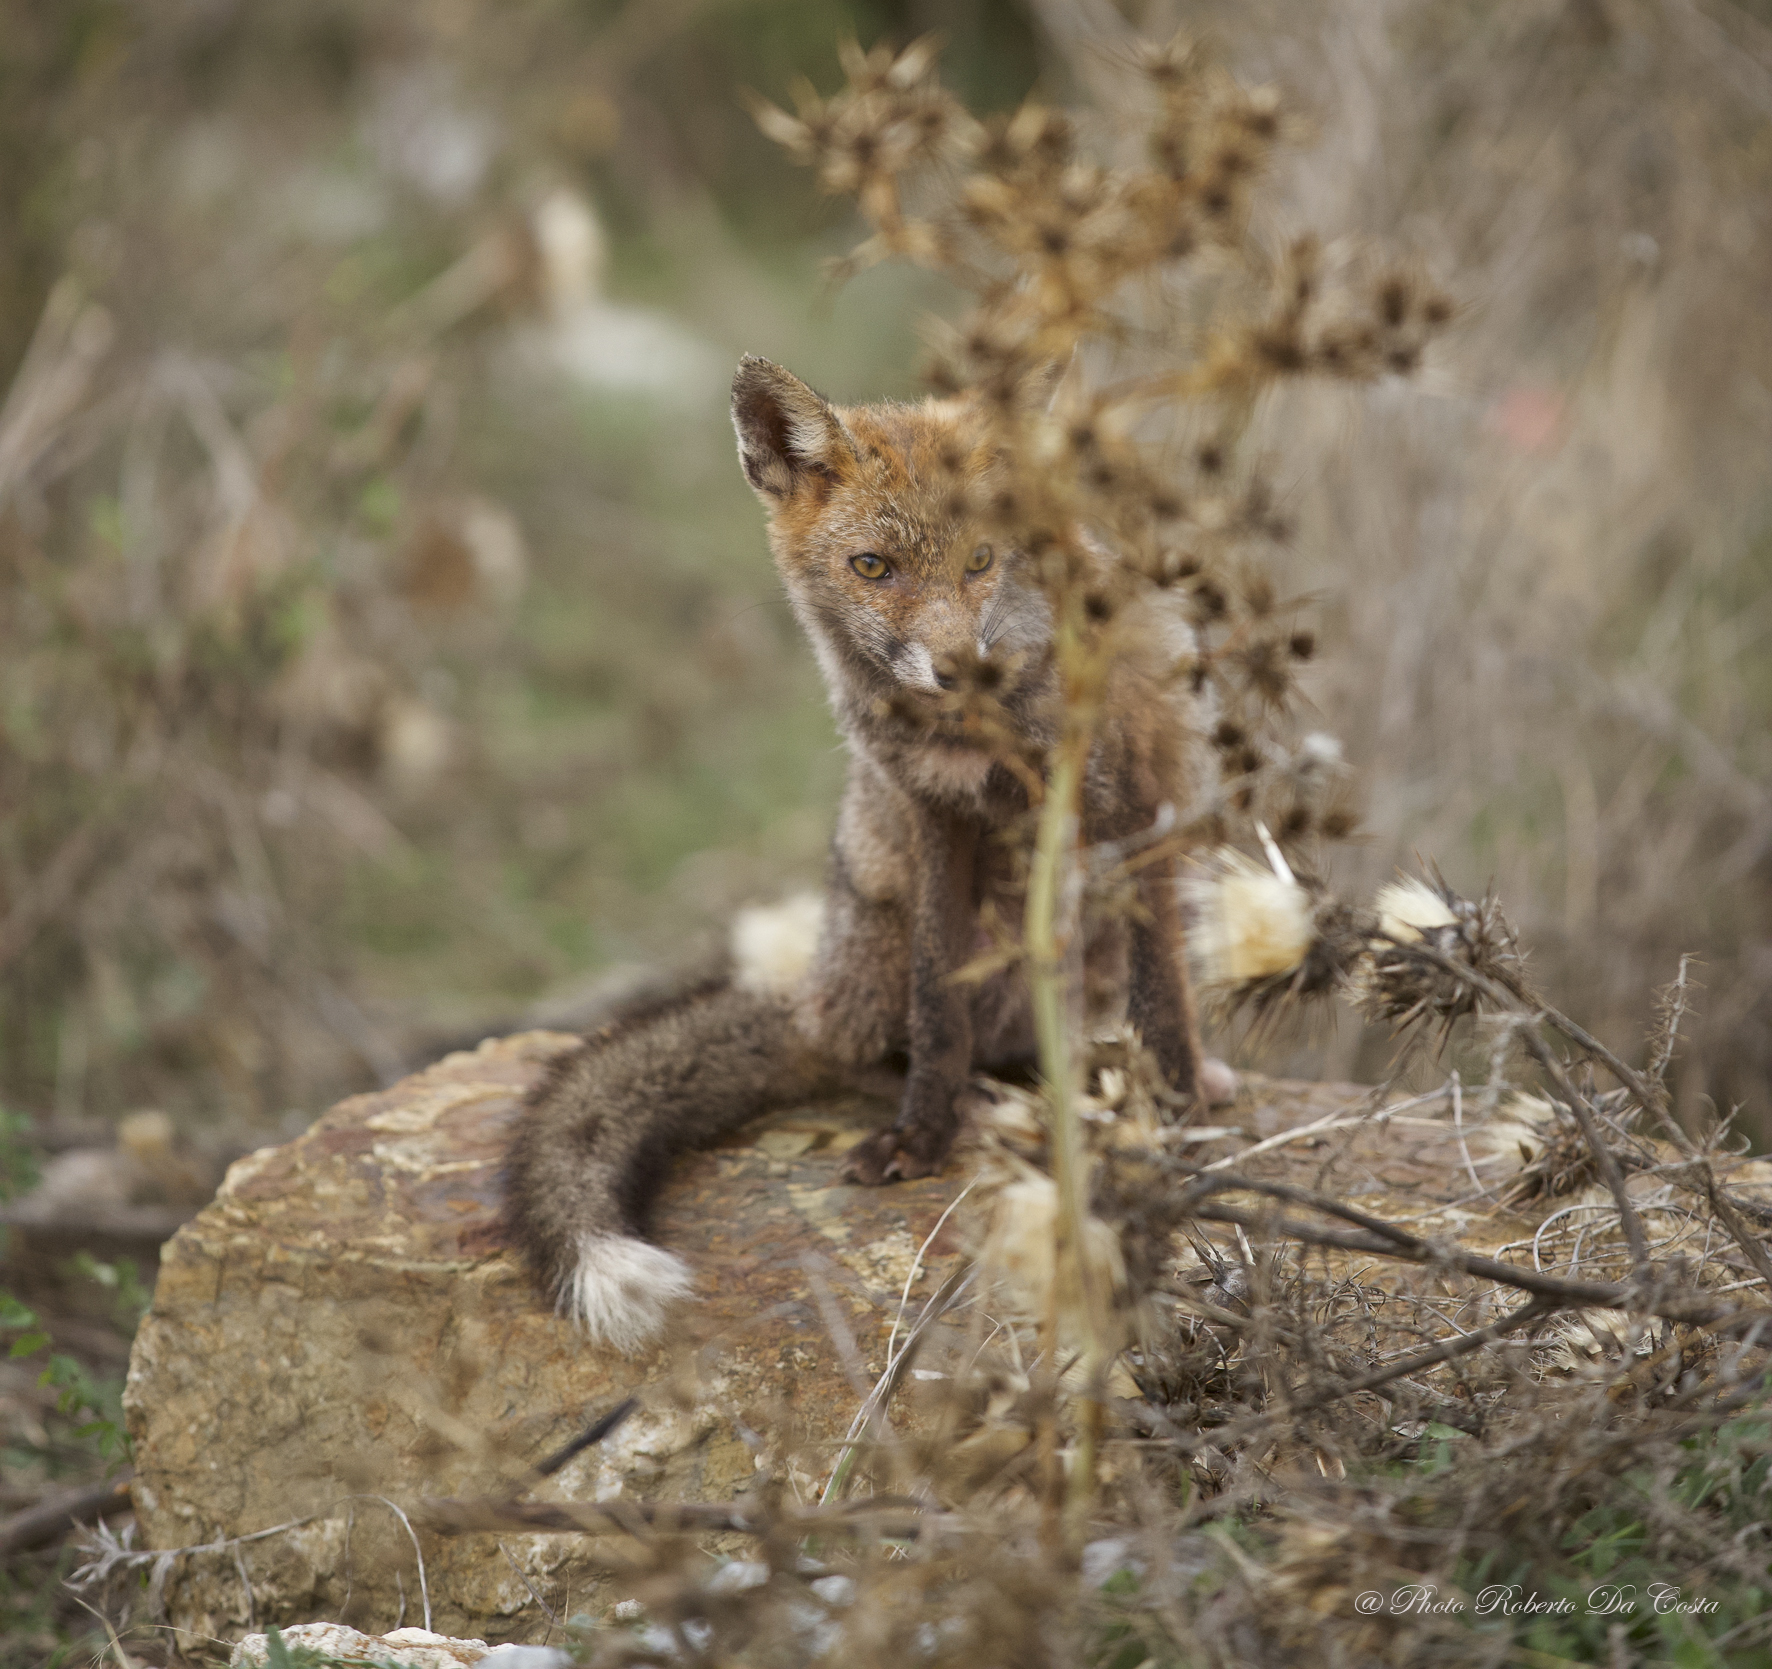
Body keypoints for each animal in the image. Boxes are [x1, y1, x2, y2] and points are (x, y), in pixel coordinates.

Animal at [504, 355, 1228, 1350]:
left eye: (981, 560)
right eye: (873, 567)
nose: (962, 667)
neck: (986, 733)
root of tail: (816, 988)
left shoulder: (1135, 811)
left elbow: (1167, 1002)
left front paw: (1179, 1119)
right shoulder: (936, 816)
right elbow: (937, 1003)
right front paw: (922, 1135)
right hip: (889, 914)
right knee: (887, 1046)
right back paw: (977, 1096)